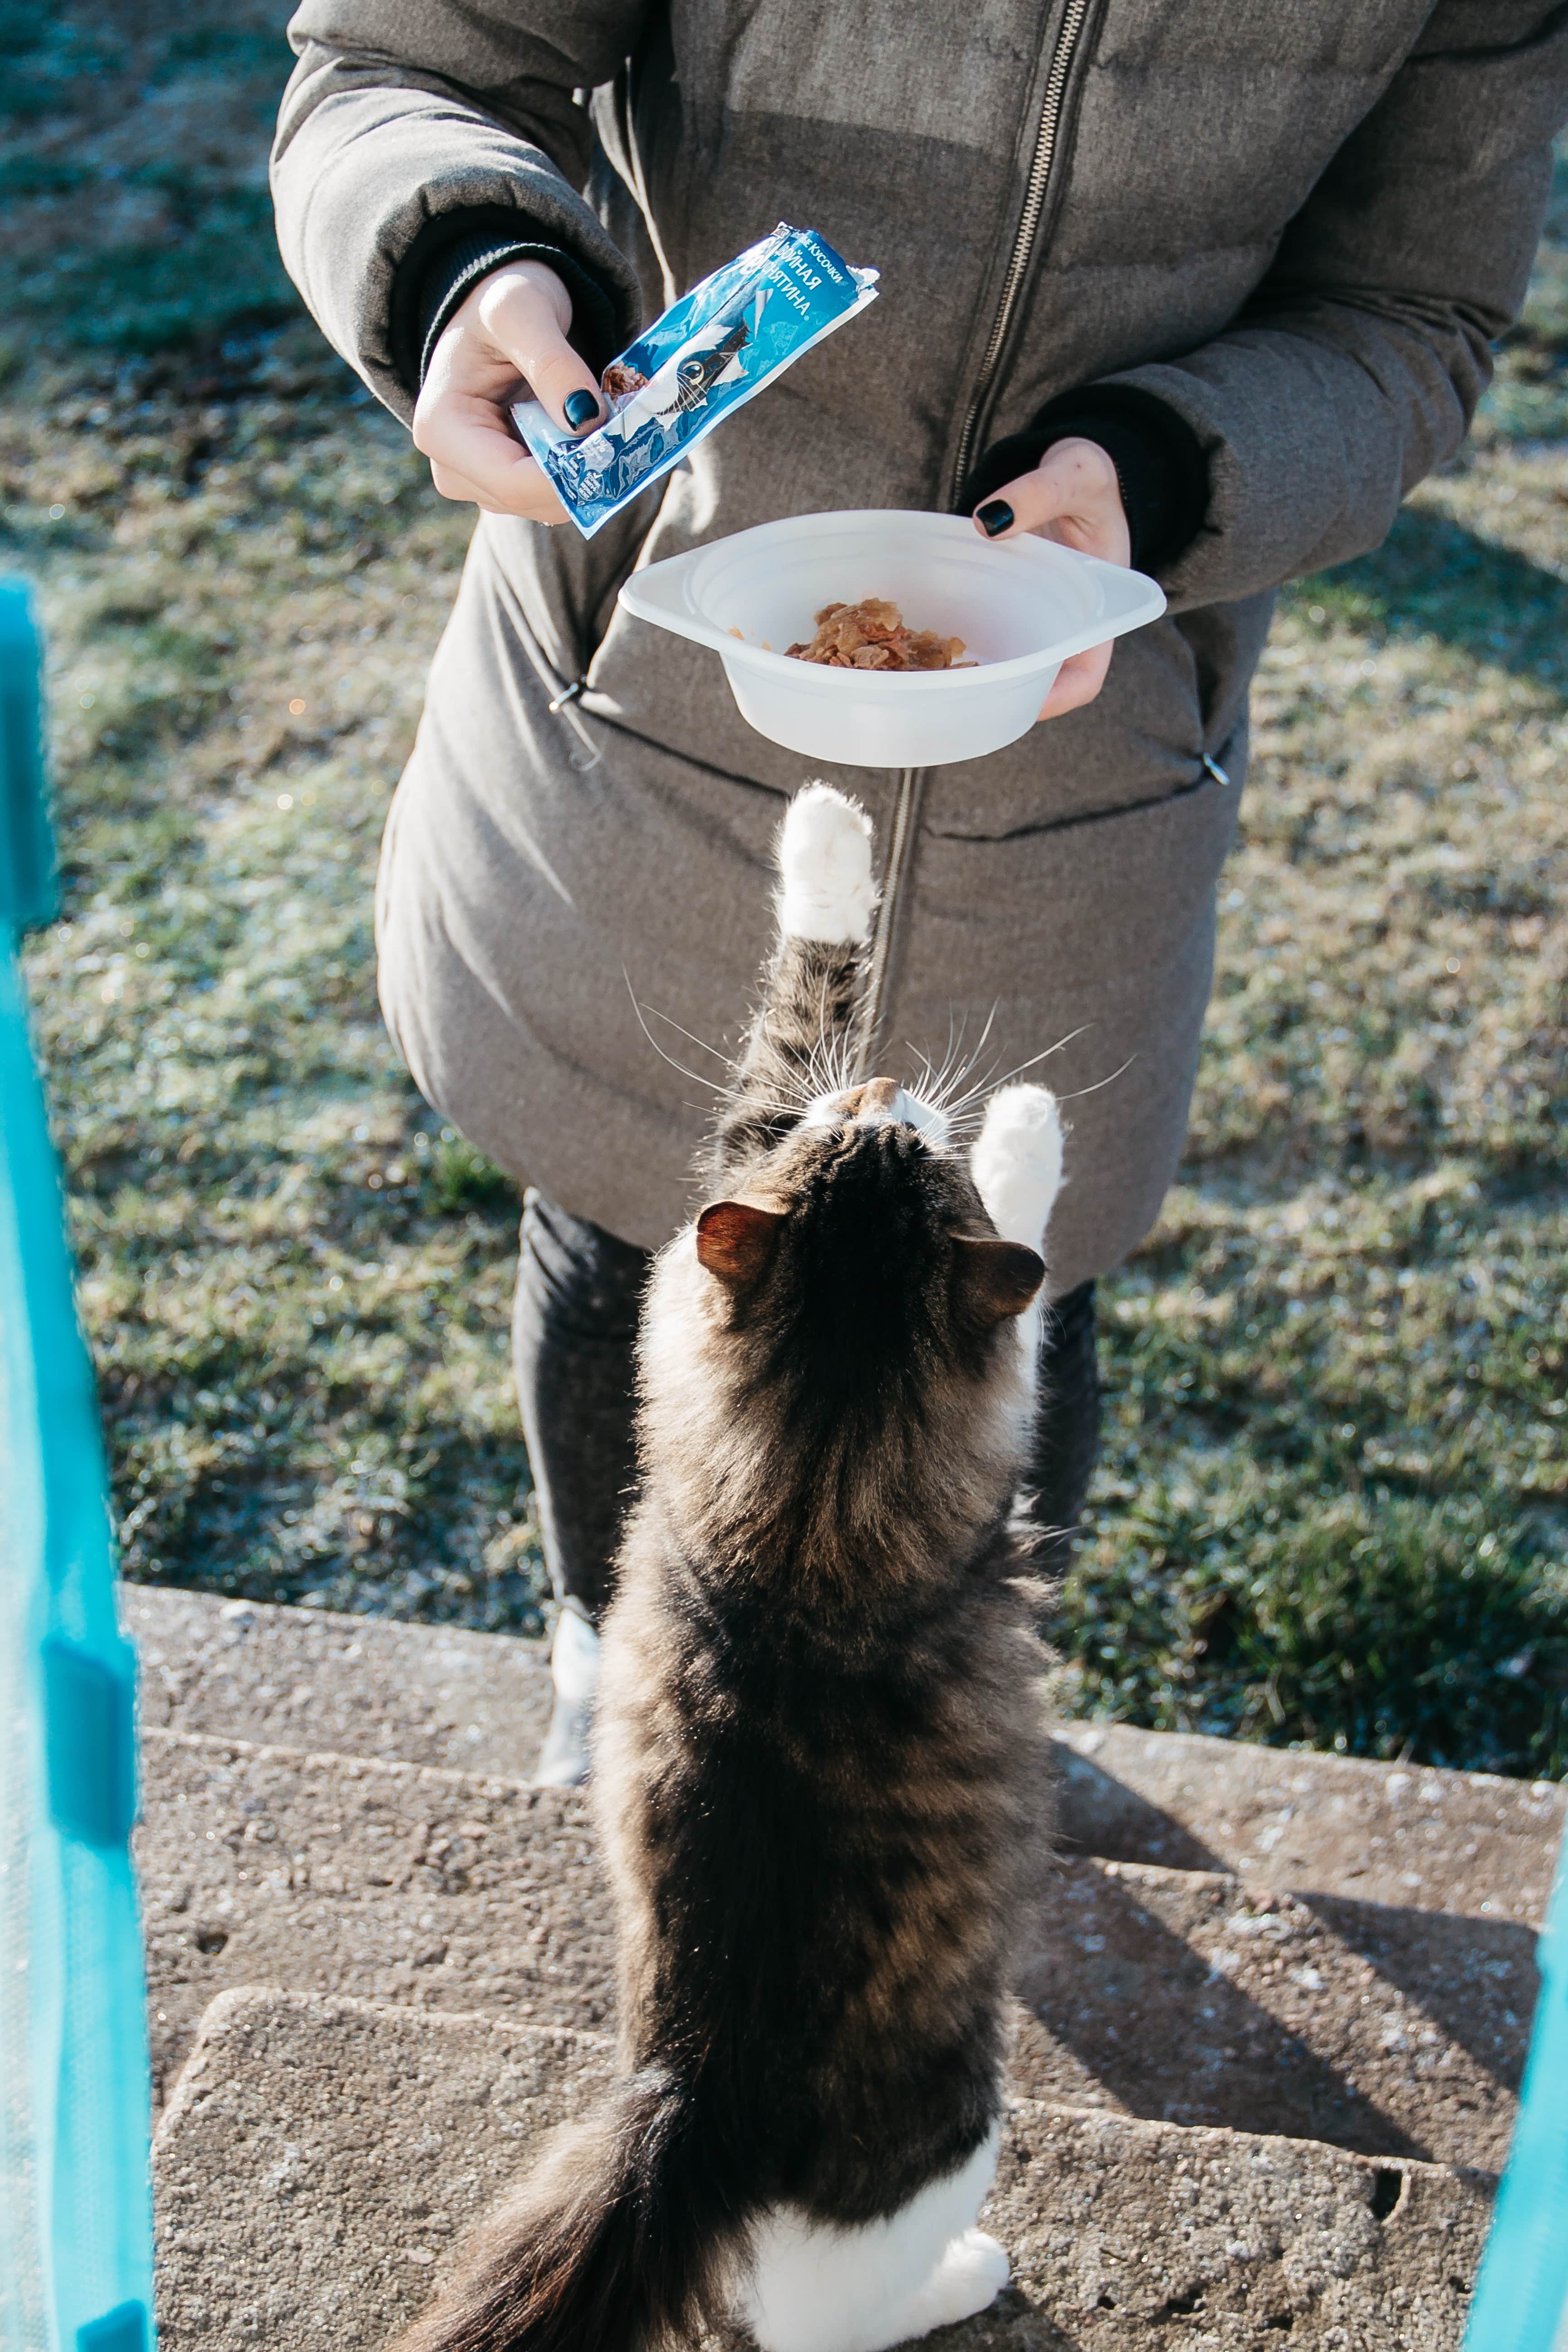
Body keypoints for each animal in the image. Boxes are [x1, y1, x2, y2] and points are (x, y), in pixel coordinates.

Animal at [399, 776, 1072, 2352]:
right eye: (893, 1146)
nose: (884, 1096)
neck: (804, 1520)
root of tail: (695, 2100)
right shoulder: (990, 1411)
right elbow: (825, 1036)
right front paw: (1023, 1120)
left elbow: (793, 1012)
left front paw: (827, 827)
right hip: (959, 2132)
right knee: (832, 2314)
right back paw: (971, 2277)